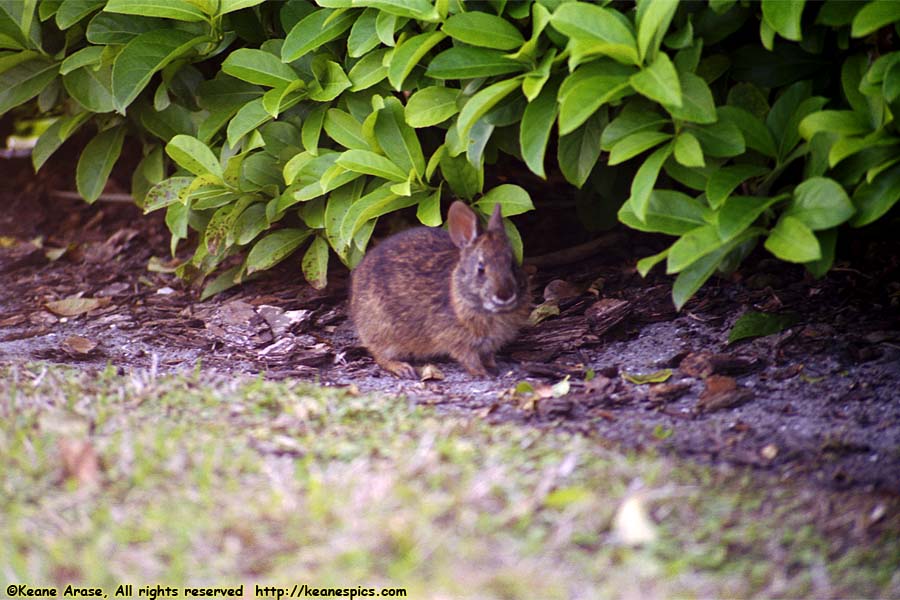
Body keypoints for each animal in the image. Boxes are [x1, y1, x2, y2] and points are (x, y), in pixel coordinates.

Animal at [350, 202, 536, 380]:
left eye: (513, 265)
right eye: (481, 269)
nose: (504, 295)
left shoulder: (489, 343)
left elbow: (488, 355)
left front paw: (493, 367)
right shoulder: (457, 340)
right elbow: (469, 359)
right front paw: (482, 373)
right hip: (384, 330)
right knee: (379, 355)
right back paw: (402, 368)